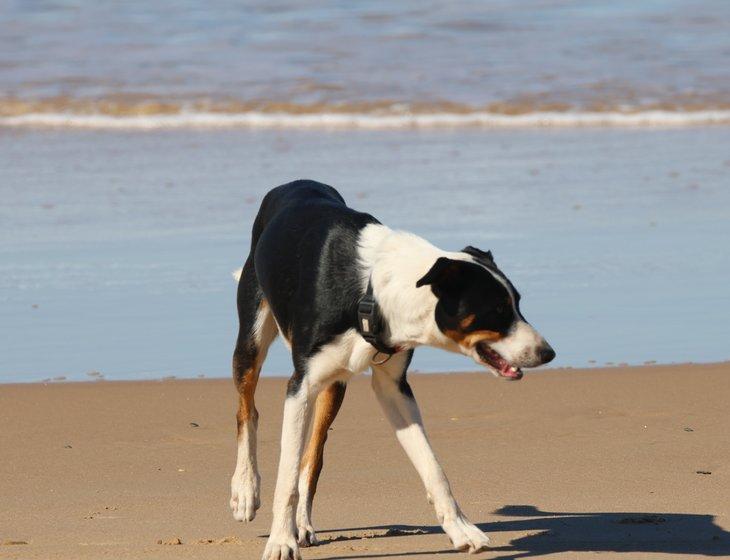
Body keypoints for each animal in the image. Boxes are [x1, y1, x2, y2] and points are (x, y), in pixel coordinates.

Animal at [230, 182, 556, 556]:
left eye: (517, 304)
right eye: (499, 310)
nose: (548, 353)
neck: (373, 293)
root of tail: (293, 183)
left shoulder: (393, 387)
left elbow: (433, 467)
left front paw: (461, 530)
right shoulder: (300, 386)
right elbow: (285, 477)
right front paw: (280, 542)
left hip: (335, 386)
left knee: (313, 455)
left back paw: (303, 524)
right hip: (252, 339)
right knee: (248, 411)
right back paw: (245, 491)